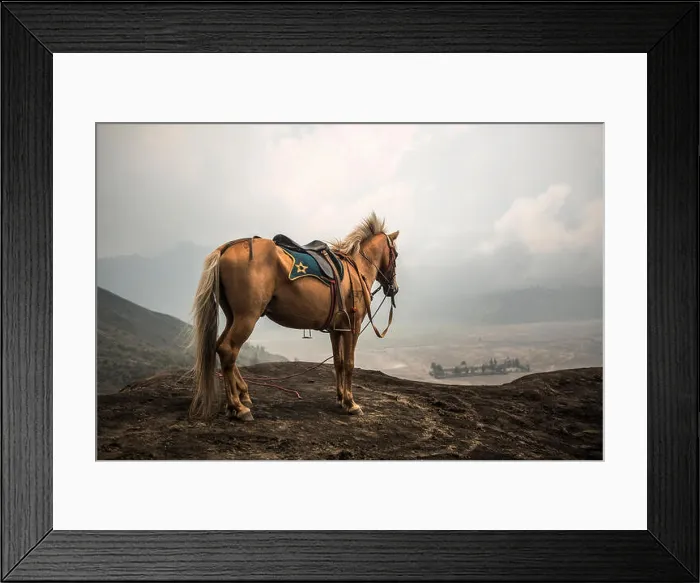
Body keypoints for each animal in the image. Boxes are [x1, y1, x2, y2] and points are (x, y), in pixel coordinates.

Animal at [187, 212, 400, 422]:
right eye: (395, 254)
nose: (394, 288)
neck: (356, 270)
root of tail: (227, 247)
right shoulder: (353, 328)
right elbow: (349, 364)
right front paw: (350, 403)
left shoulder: (337, 329)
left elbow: (338, 363)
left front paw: (340, 398)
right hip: (247, 317)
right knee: (228, 349)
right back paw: (238, 407)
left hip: (233, 316)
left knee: (221, 346)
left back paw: (242, 395)